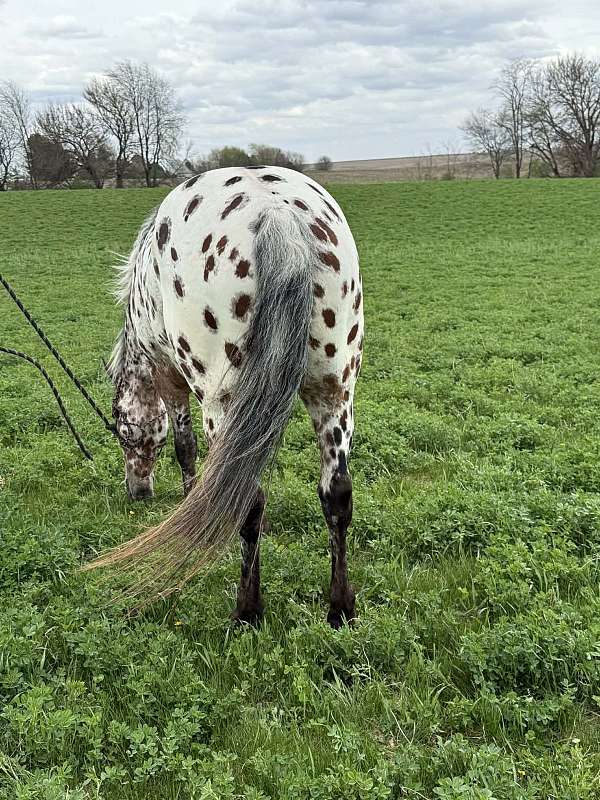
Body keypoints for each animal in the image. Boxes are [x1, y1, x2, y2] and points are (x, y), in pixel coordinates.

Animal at [87, 165, 364, 628]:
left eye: (123, 432)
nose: (137, 491)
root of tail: (275, 214)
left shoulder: (171, 380)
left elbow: (184, 447)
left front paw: (188, 500)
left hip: (224, 403)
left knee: (249, 500)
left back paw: (247, 611)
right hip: (335, 391)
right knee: (337, 494)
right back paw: (339, 608)